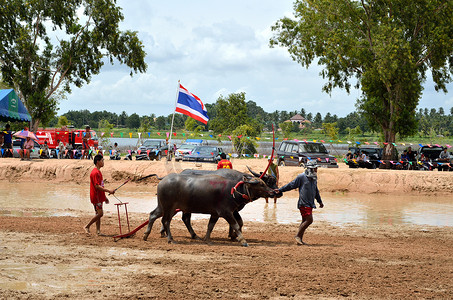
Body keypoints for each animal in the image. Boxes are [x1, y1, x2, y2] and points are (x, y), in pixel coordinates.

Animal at [143, 172, 276, 247]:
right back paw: (170, 239)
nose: (273, 192)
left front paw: (206, 239)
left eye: (264, 183)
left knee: (153, 215)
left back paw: (146, 235)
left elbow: (210, 226)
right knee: (166, 221)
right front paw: (243, 240)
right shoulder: (226, 212)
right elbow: (236, 225)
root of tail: (163, 180)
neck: (233, 191)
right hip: (169, 207)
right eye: (261, 184)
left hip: (163, 206)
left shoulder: (215, 214)